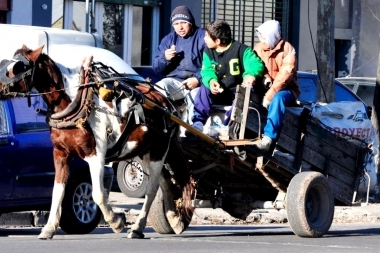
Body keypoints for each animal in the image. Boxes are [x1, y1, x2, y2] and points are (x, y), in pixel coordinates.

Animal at [0, 44, 194, 240]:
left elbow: (98, 194)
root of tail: (166, 102)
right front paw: (49, 228)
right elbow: (57, 192)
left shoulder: (96, 154)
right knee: (166, 180)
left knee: (152, 189)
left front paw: (116, 222)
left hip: (158, 151)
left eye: (16, 68)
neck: (74, 101)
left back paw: (138, 227)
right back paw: (173, 218)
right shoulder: (60, 154)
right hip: (145, 151)